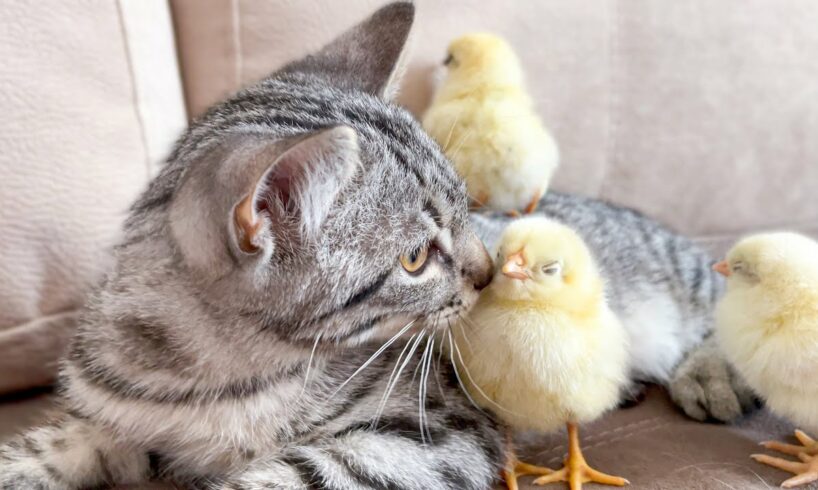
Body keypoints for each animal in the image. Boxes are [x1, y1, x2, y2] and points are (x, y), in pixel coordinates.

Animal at [0, 3, 752, 490]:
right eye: (415, 259)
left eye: (467, 209)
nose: (487, 273)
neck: (202, 381)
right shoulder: (117, 417)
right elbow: (58, 441)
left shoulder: (428, 435)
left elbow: (287, 477)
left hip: (682, 284)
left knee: (721, 302)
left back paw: (712, 375)